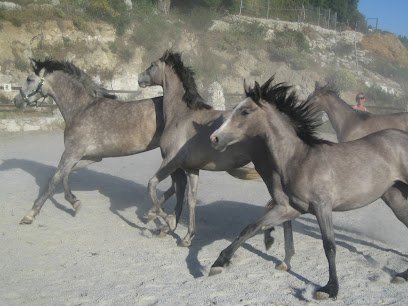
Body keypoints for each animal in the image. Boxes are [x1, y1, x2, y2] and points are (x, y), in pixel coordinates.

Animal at [12, 58, 188, 225]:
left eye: (29, 79)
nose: (16, 101)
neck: (80, 109)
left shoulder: (71, 153)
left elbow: (54, 180)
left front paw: (30, 214)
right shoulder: (91, 157)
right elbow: (66, 175)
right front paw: (74, 202)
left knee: (178, 184)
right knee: (176, 184)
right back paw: (155, 213)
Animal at [137, 50, 294, 250]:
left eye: (152, 65)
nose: (139, 78)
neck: (181, 116)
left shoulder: (171, 161)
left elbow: (152, 185)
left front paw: (165, 221)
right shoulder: (191, 169)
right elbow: (190, 199)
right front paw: (187, 236)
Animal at [210, 77, 408, 300]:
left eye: (245, 112)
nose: (214, 138)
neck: (298, 159)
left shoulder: (322, 207)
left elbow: (329, 246)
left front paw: (330, 289)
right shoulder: (290, 208)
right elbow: (252, 227)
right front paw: (219, 263)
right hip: (395, 199)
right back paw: (402, 275)